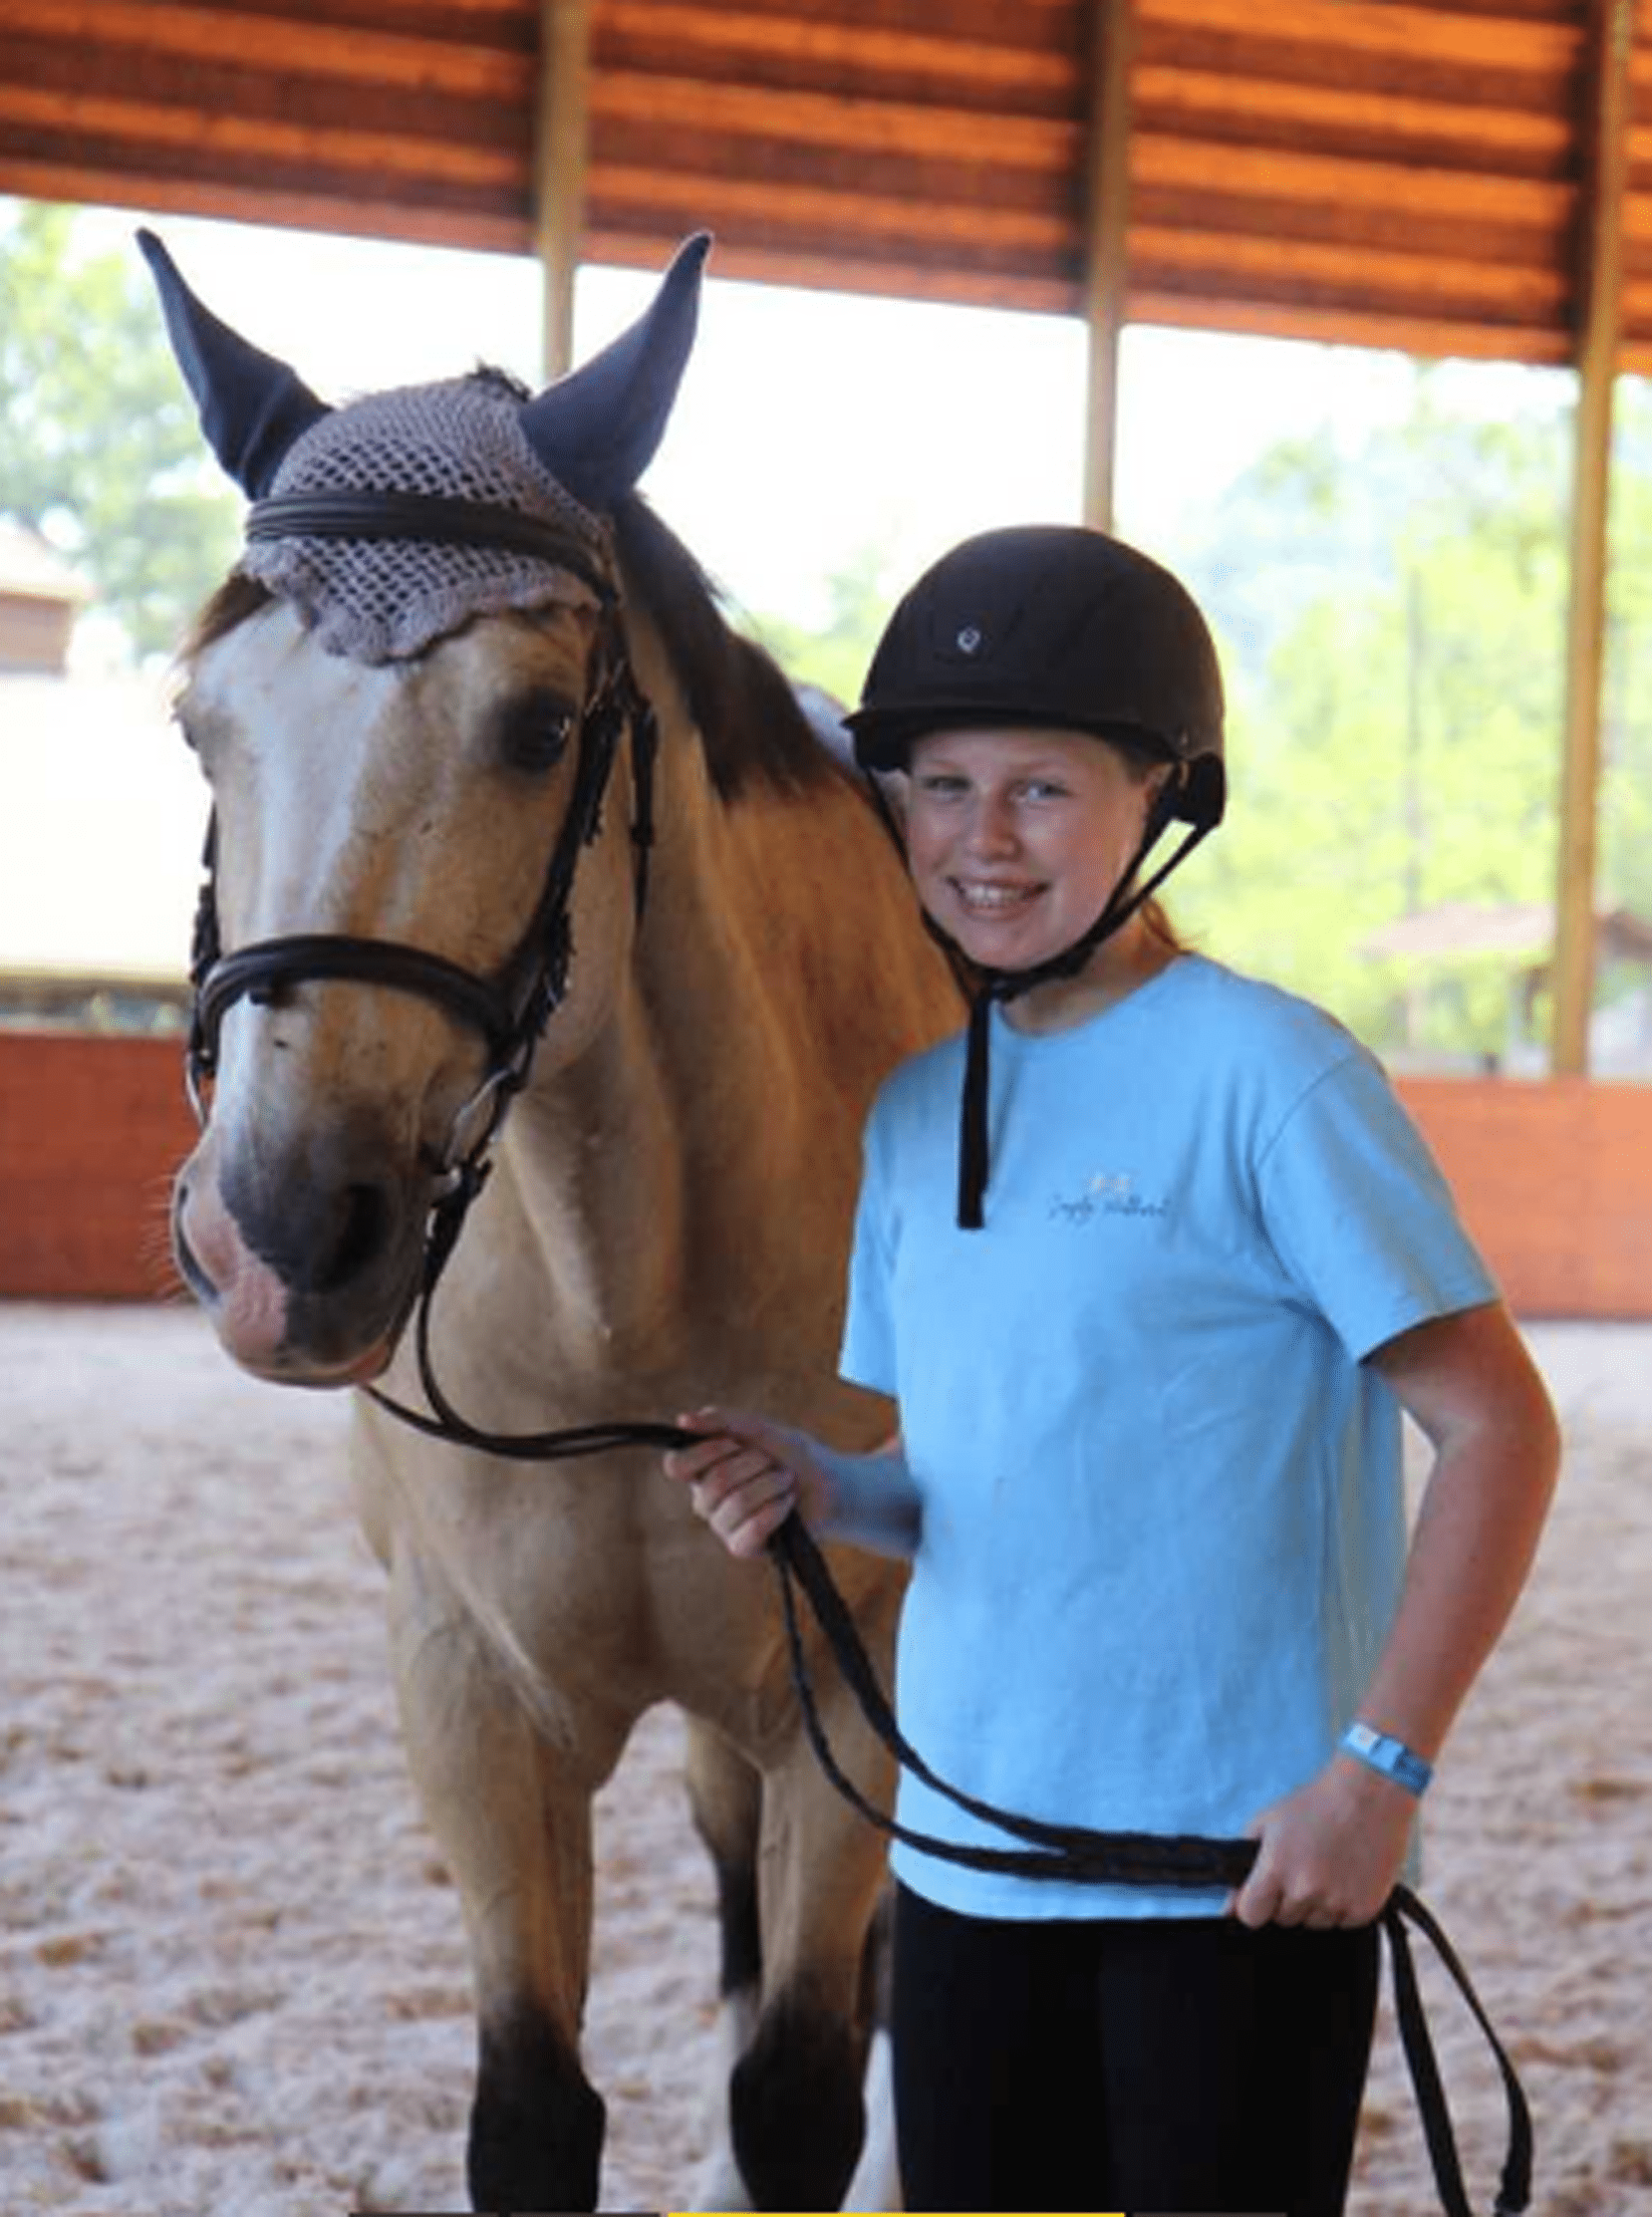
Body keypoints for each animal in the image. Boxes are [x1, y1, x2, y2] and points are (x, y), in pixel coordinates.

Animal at [145, 233, 962, 2208]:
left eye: (534, 728)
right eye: (204, 729)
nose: (281, 1240)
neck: (626, 1306)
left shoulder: (855, 1685)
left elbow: (801, 2092)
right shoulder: (470, 1698)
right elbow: (533, 2110)